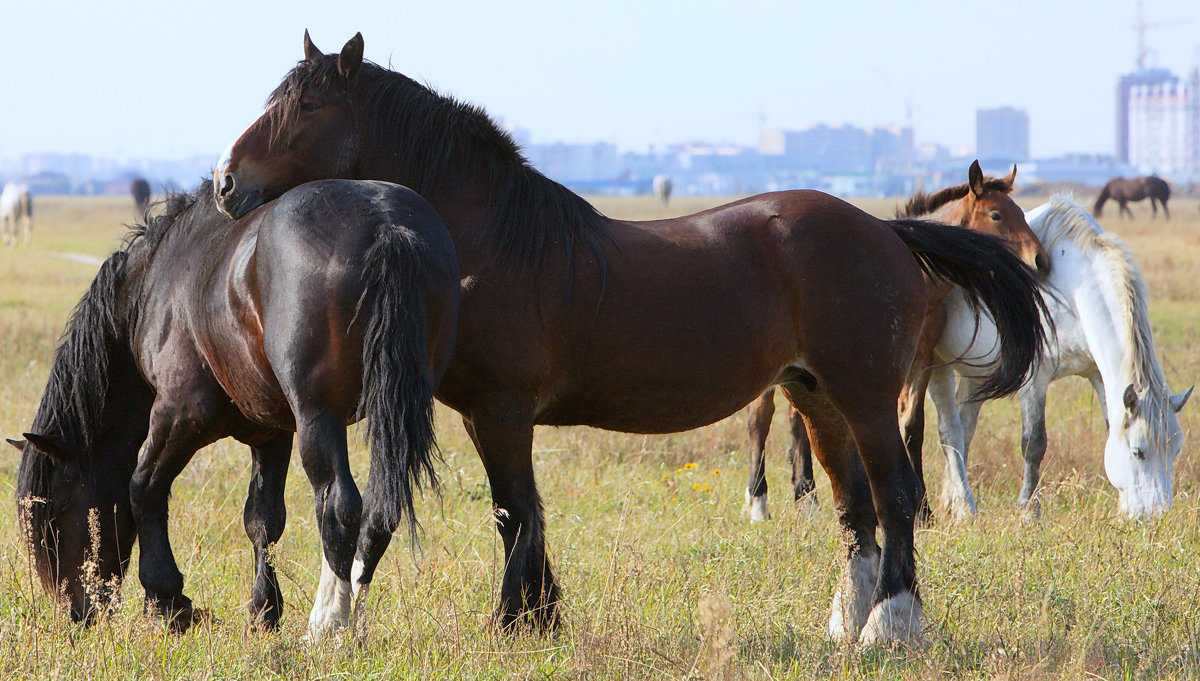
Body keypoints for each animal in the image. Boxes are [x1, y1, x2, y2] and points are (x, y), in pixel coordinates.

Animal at [9, 178, 458, 637]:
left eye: (55, 510)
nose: (76, 613)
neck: (154, 285)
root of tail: (385, 225)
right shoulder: (271, 432)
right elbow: (263, 518)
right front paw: (264, 609)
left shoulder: (178, 417)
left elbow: (144, 488)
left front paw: (167, 601)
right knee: (379, 512)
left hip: (319, 417)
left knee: (338, 506)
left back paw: (328, 623)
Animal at [744, 163, 1046, 520]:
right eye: (996, 215)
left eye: (1022, 212)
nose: (1040, 260)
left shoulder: (922, 363)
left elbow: (913, 428)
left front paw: (923, 510)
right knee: (760, 420)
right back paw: (759, 501)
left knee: (797, 423)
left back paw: (807, 499)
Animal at [936, 194, 1190, 517]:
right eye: (1138, 452)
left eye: (1176, 450)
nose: (1155, 515)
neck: (1070, 287)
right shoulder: (1033, 378)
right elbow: (1034, 444)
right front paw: (1028, 511)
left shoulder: (1097, 374)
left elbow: (1110, 425)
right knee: (949, 430)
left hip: (978, 373)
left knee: (963, 428)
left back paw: (953, 502)